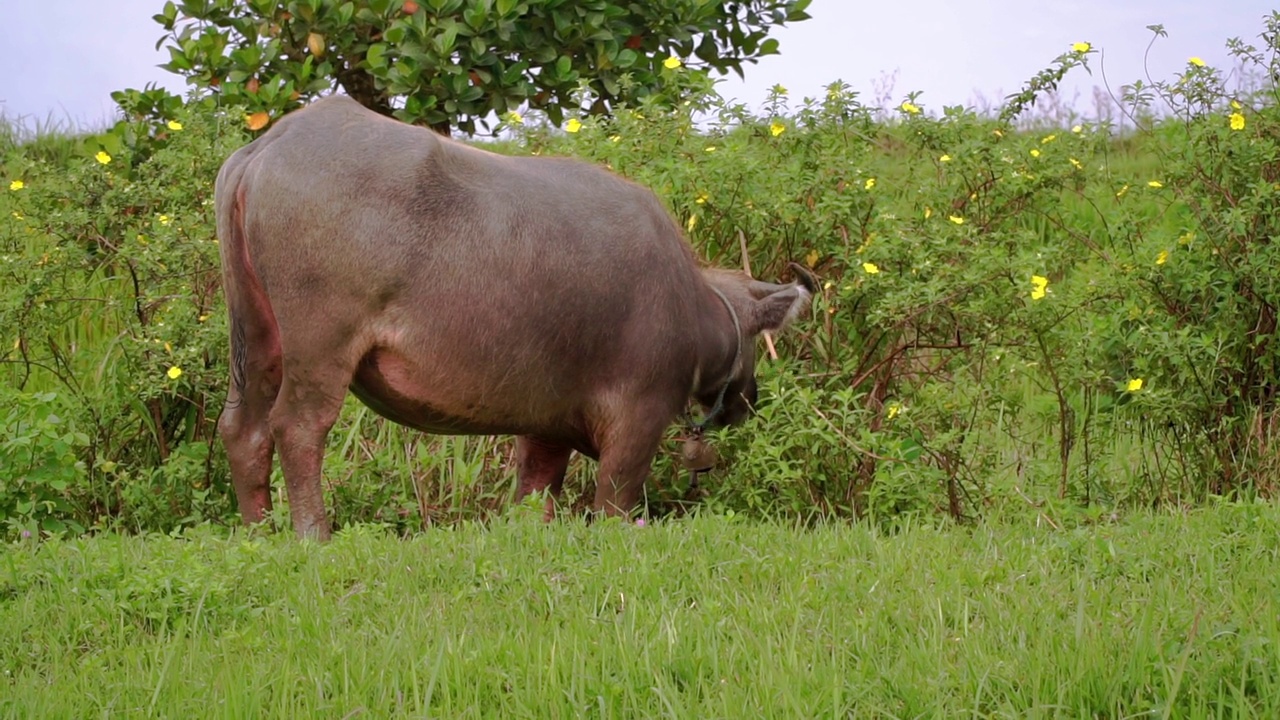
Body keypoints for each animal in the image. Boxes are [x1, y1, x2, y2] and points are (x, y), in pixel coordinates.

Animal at [209, 95, 808, 535]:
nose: (749, 400)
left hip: (257, 336)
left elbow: (535, 490)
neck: (692, 306)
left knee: (243, 428)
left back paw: (259, 530)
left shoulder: (548, 421)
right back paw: (314, 534)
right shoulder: (640, 413)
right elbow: (615, 497)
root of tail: (267, 146)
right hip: (319, 345)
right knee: (298, 426)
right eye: (757, 341)